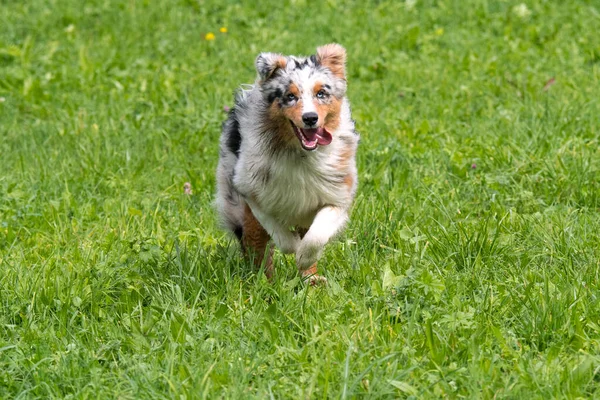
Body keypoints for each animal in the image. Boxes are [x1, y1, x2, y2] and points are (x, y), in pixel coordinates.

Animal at [214, 43, 356, 284]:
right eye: (290, 96)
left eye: (321, 93)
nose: (310, 118)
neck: (300, 154)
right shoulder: (250, 190)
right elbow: (276, 230)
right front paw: (292, 247)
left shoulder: (336, 194)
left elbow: (316, 236)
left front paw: (305, 258)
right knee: (255, 246)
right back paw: (263, 283)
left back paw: (311, 281)